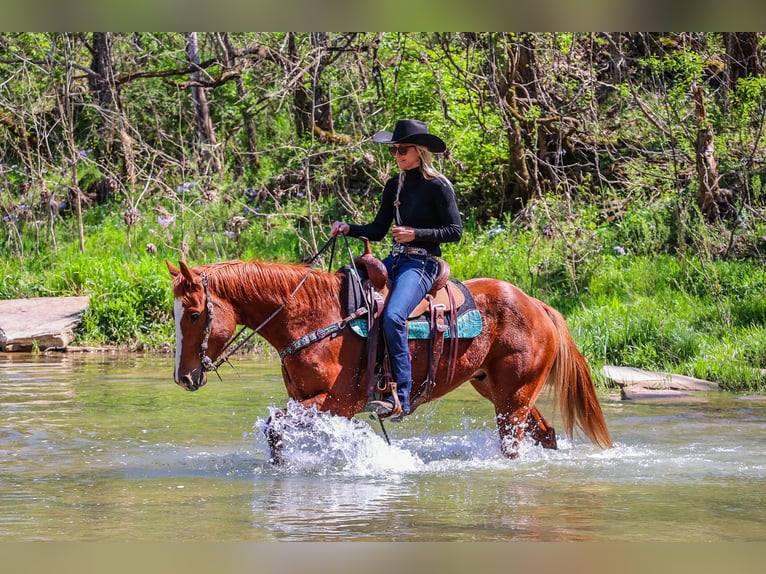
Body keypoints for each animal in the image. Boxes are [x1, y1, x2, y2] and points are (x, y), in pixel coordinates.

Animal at [165, 252, 616, 464]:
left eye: (194, 314)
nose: (183, 377)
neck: (312, 317)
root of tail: (537, 305)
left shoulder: (336, 402)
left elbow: (276, 425)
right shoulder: (306, 401)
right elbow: (278, 431)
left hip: (513, 397)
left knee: (514, 444)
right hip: (499, 390)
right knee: (546, 433)